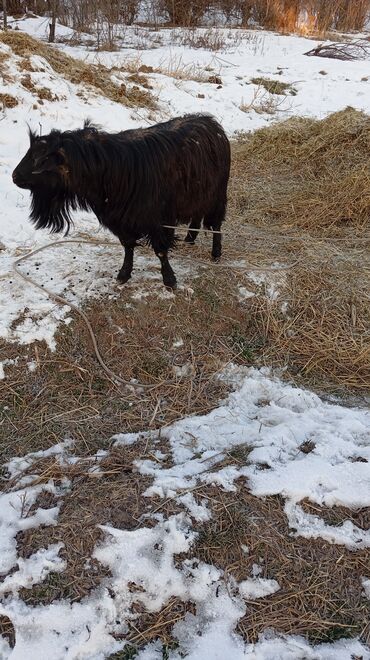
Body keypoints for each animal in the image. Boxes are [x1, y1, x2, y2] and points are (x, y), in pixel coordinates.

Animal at [13, 113, 230, 286]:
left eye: (42, 160)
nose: (15, 176)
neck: (110, 170)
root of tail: (209, 121)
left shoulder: (158, 220)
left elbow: (160, 250)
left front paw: (169, 279)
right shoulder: (120, 219)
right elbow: (128, 247)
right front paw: (124, 274)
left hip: (218, 195)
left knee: (216, 224)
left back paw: (216, 253)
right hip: (198, 194)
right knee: (197, 215)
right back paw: (190, 238)